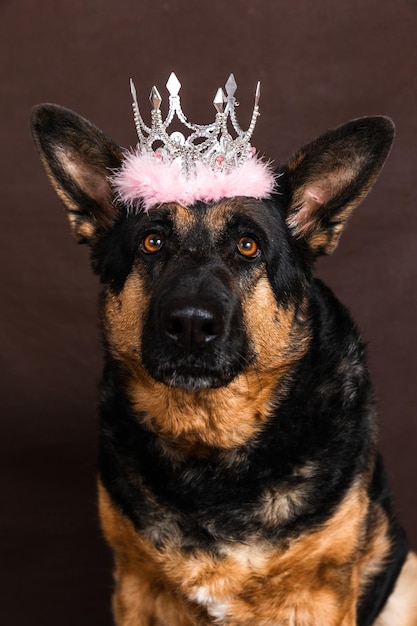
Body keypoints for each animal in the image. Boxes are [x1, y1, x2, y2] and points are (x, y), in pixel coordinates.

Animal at [30, 98, 414, 624]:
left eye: (248, 246)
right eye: (152, 241)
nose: (191, 325)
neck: (210, 441)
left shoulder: (321, 593)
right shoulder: (136, 586)